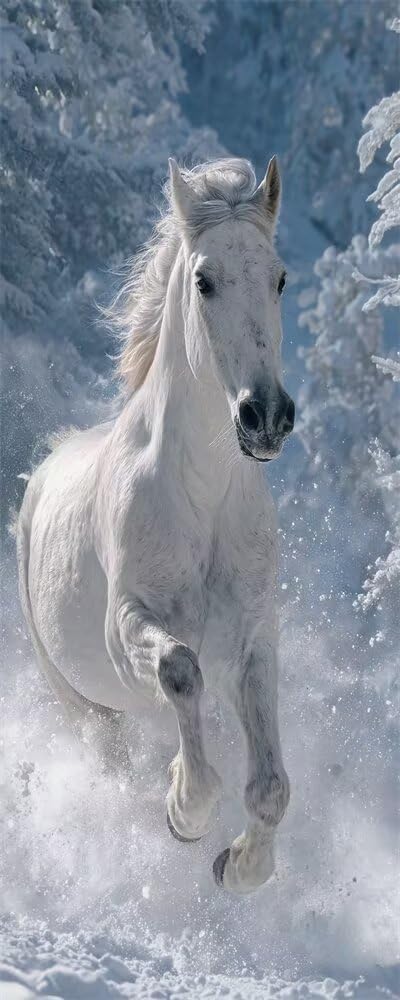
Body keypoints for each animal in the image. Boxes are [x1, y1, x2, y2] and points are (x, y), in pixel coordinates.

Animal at [17, 155, 295, 894]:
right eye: (204, 280)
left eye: (280, 277)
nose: (267, 416)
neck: (202, 498)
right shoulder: (130, 628)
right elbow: (179, 668)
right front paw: (185, 812)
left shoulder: (252, 640)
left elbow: (271, 787)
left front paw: (240, 865)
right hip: (85, 705)